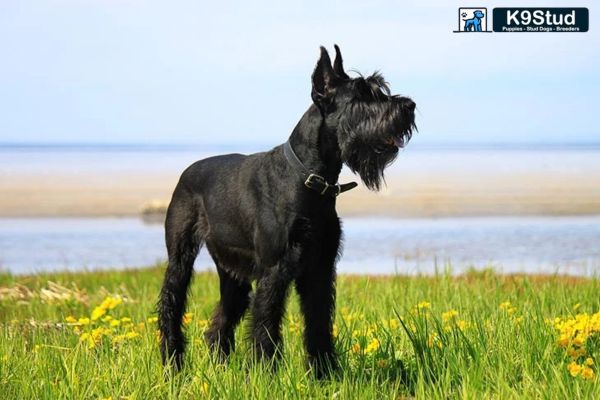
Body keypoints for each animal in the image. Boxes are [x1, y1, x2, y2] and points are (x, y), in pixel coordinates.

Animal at [157, 45, 414, 376]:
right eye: (362, 96)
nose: (409, 106)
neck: (310, 178)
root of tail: (187, 171)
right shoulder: (275, 268)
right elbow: (266, 320)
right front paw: (265, 371)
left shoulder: (320, 268)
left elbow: (319, 321)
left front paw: (325, 372)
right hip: (180, 257)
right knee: (171, 304)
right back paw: (172, 363)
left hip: (232, 271)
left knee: (222, 318)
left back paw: (220, 367)